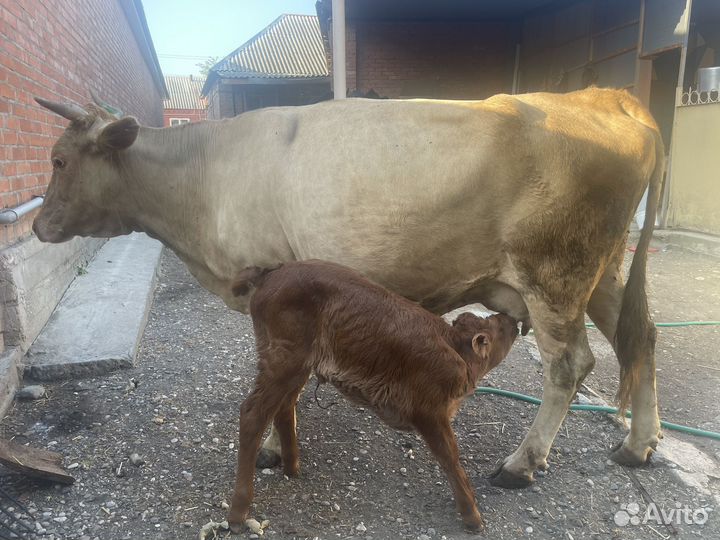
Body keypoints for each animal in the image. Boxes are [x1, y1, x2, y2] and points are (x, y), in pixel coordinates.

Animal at [33, 87, 663, 491]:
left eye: (59, 160)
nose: (37, 226)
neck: (201, 179)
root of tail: (603, 95)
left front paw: (269, 448)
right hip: (601, 275)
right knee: (642, 339)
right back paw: (638, 445)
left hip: (555, 274)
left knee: (571, 365)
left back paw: (521, 463)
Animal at [228, 260, 519, 531]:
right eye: (498, 329)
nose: (514, 321)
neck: (456, 348)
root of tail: (271, 272)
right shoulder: (429, 410)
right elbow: (450, 457)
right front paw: (472, 515)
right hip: (283, 357)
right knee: (252, 414)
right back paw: (238, 512)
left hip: (297, 362)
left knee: (284, 406)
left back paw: (292, 467)